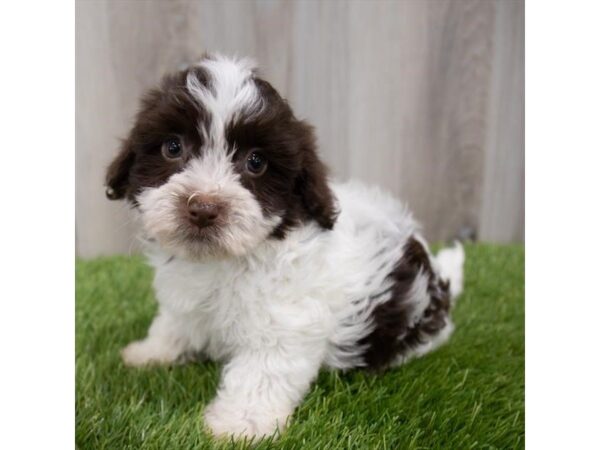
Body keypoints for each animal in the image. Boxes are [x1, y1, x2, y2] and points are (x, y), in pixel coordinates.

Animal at [105, 52, 466, 440]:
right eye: (172, 147)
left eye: (256, 162)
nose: (203, 208)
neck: (227, 258)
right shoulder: (188, 301)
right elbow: (174, 322)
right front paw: (151, 351)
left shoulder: (284, 324)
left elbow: (261, 373)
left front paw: (240, 424)